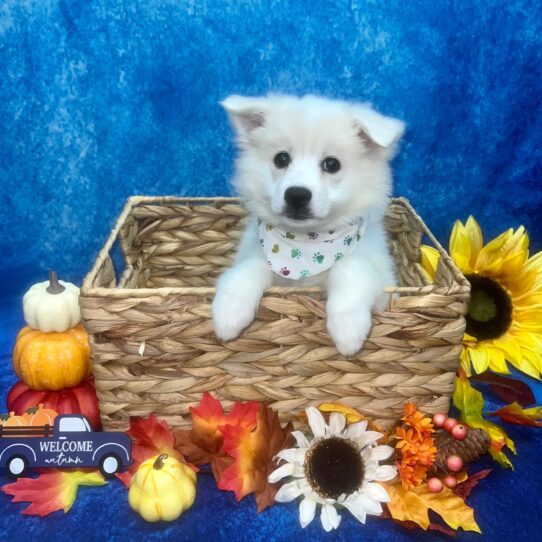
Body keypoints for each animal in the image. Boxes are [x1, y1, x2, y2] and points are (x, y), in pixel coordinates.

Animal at [212, 95, 404, 360]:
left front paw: (348, 330)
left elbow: (351, 267)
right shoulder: (255, 255)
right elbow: (249, 267)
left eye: (332, 164)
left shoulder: (384, 287)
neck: (305, 245)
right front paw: (228, 312)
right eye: (281, 159)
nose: (296, 195)